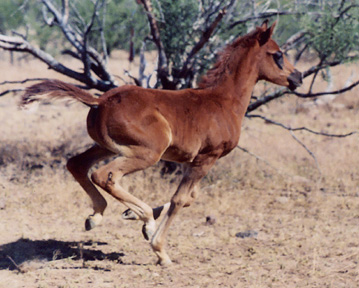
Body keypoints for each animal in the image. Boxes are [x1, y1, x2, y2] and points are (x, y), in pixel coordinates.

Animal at [22, 20, 304, 266]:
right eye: (278, 55)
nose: (298, 77)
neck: (223, 102)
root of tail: (100, 100)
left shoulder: (192, 160)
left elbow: (190, 197)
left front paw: (131, 215)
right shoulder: (207, 157)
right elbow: (180, 199)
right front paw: (159, 249)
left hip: (105, 146)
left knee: (77, 164)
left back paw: (98, 217)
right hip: (147, 153)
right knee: (105, 175)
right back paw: (144, 219)